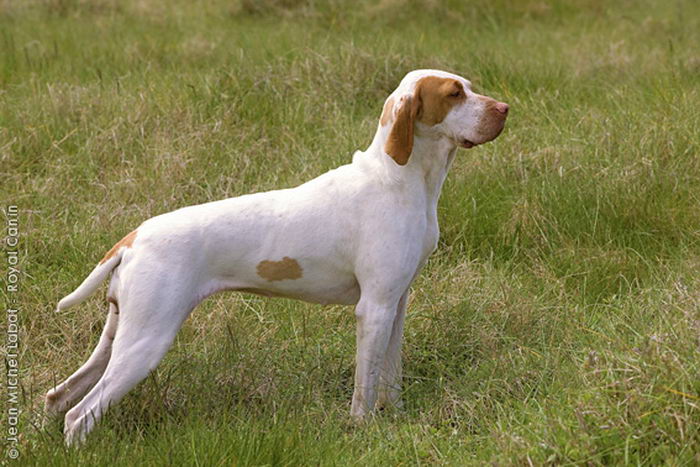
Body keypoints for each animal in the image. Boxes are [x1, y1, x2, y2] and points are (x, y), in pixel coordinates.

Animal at [47, 69, 508, 446]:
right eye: (454, 93)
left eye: (469, 87)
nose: (505, 109)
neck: (398, 180)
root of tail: (133, 238)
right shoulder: (373, 308)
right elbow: (364, 386)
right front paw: (362, 429)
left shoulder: (396, 304)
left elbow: (389, 378)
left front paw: (395, 418)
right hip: (145, 341)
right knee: (78, 415)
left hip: (119, 335)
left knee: (59, 397)